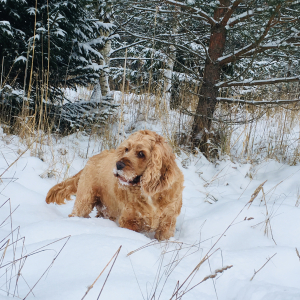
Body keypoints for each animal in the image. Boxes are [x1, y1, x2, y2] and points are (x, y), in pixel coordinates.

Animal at [45, 130, 184, 240]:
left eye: (141, 153)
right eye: (126, 149)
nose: (118, 164)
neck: (150, 194)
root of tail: (91, 159)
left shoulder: (167, 223)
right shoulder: (129, 220)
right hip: (84, 201)